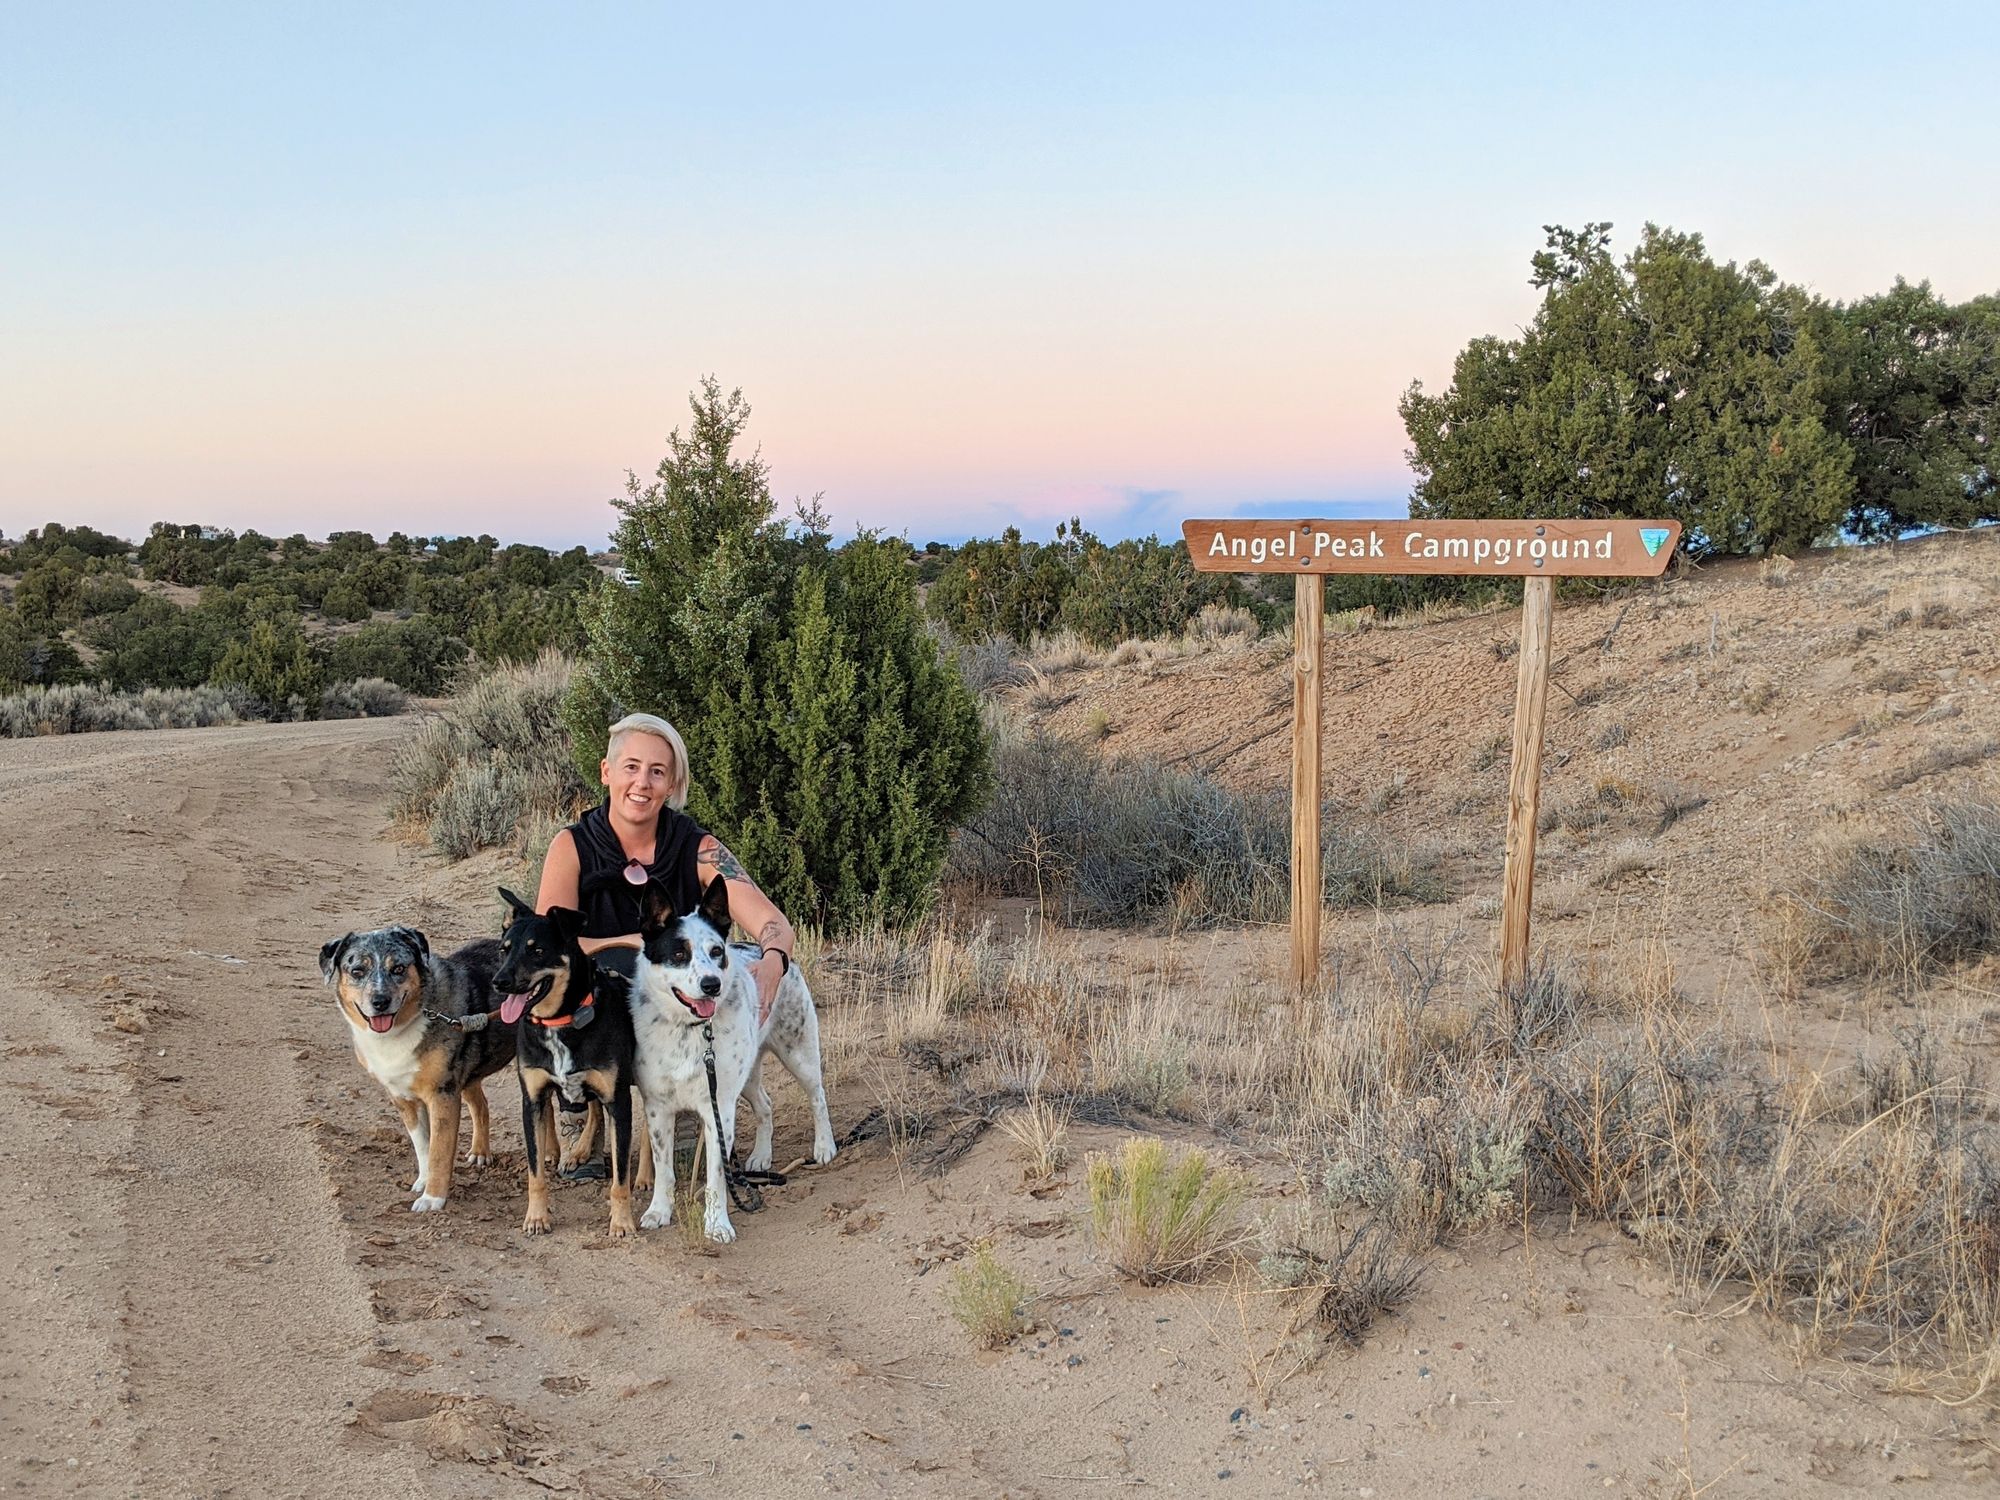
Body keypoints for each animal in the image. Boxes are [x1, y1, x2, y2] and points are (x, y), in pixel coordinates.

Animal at [316, 924, 512, 1216]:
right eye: (357, 971)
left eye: (398, 968)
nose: (380, 1001)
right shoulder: (403, 1098)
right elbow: (423, 1145)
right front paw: (423, 1180)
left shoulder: (442, 1095)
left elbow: (439, 1150)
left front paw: (433, 1198)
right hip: (468, 1075)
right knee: (481, 1105)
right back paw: (480, 1152)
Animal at [492, 892, 640, 1232]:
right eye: (503, 949)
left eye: (537, 950)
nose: (499, 981)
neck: (560, 1020)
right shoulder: (532, 1100)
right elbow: (535, 1173)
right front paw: (536, 1217)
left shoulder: (619, 1100)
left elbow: (620, 1177)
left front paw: (622, 1222)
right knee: (594, 1109)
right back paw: (581, 1150)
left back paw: (646, 1177)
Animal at [632, 876, 836, 1240]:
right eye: (679, 954)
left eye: (716, 952)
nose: (711, 985)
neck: (689, 1030)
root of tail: (768, 952)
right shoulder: (658, 1110)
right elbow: (663, 1168)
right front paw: (659, 1210)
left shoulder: (718, 1111)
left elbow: (716, 1176)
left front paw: (716, 1224)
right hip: (746, 1078)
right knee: (766, 1105)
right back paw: (761, 1156)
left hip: (798, 1055)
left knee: (818, 1096)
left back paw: (825, 1146)